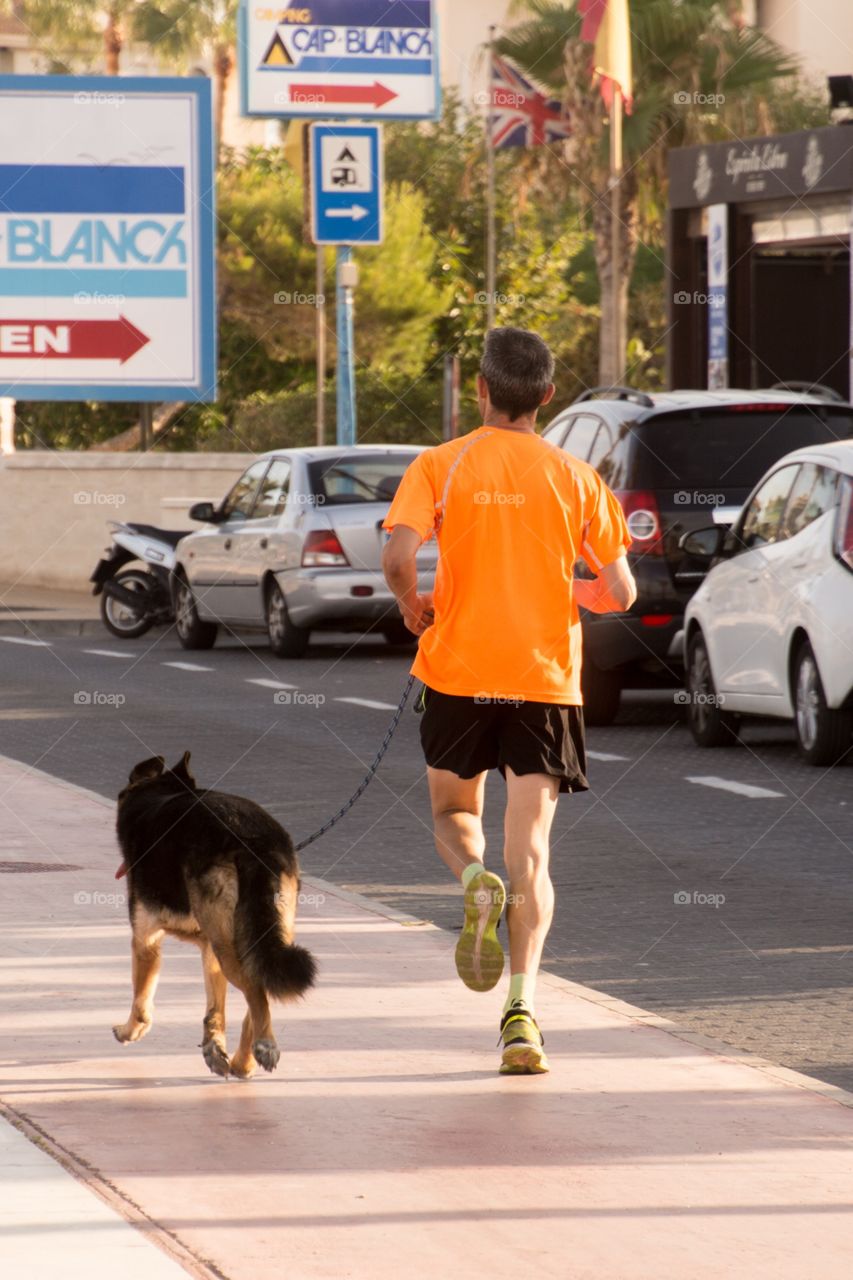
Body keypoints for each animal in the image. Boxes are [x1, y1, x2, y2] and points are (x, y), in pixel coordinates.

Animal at [111, 752, 313, 1075]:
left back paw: (265, 1045)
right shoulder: (209, 948)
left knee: (255, 989)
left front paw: (130, 1031)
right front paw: (213, 1048)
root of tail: (253, 839)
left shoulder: (145, 940)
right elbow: (215, 1009)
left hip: (229, 946)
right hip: (249, 936)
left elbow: (141, 1000)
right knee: (258, 990)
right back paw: (244, 1061)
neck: (159, 793)